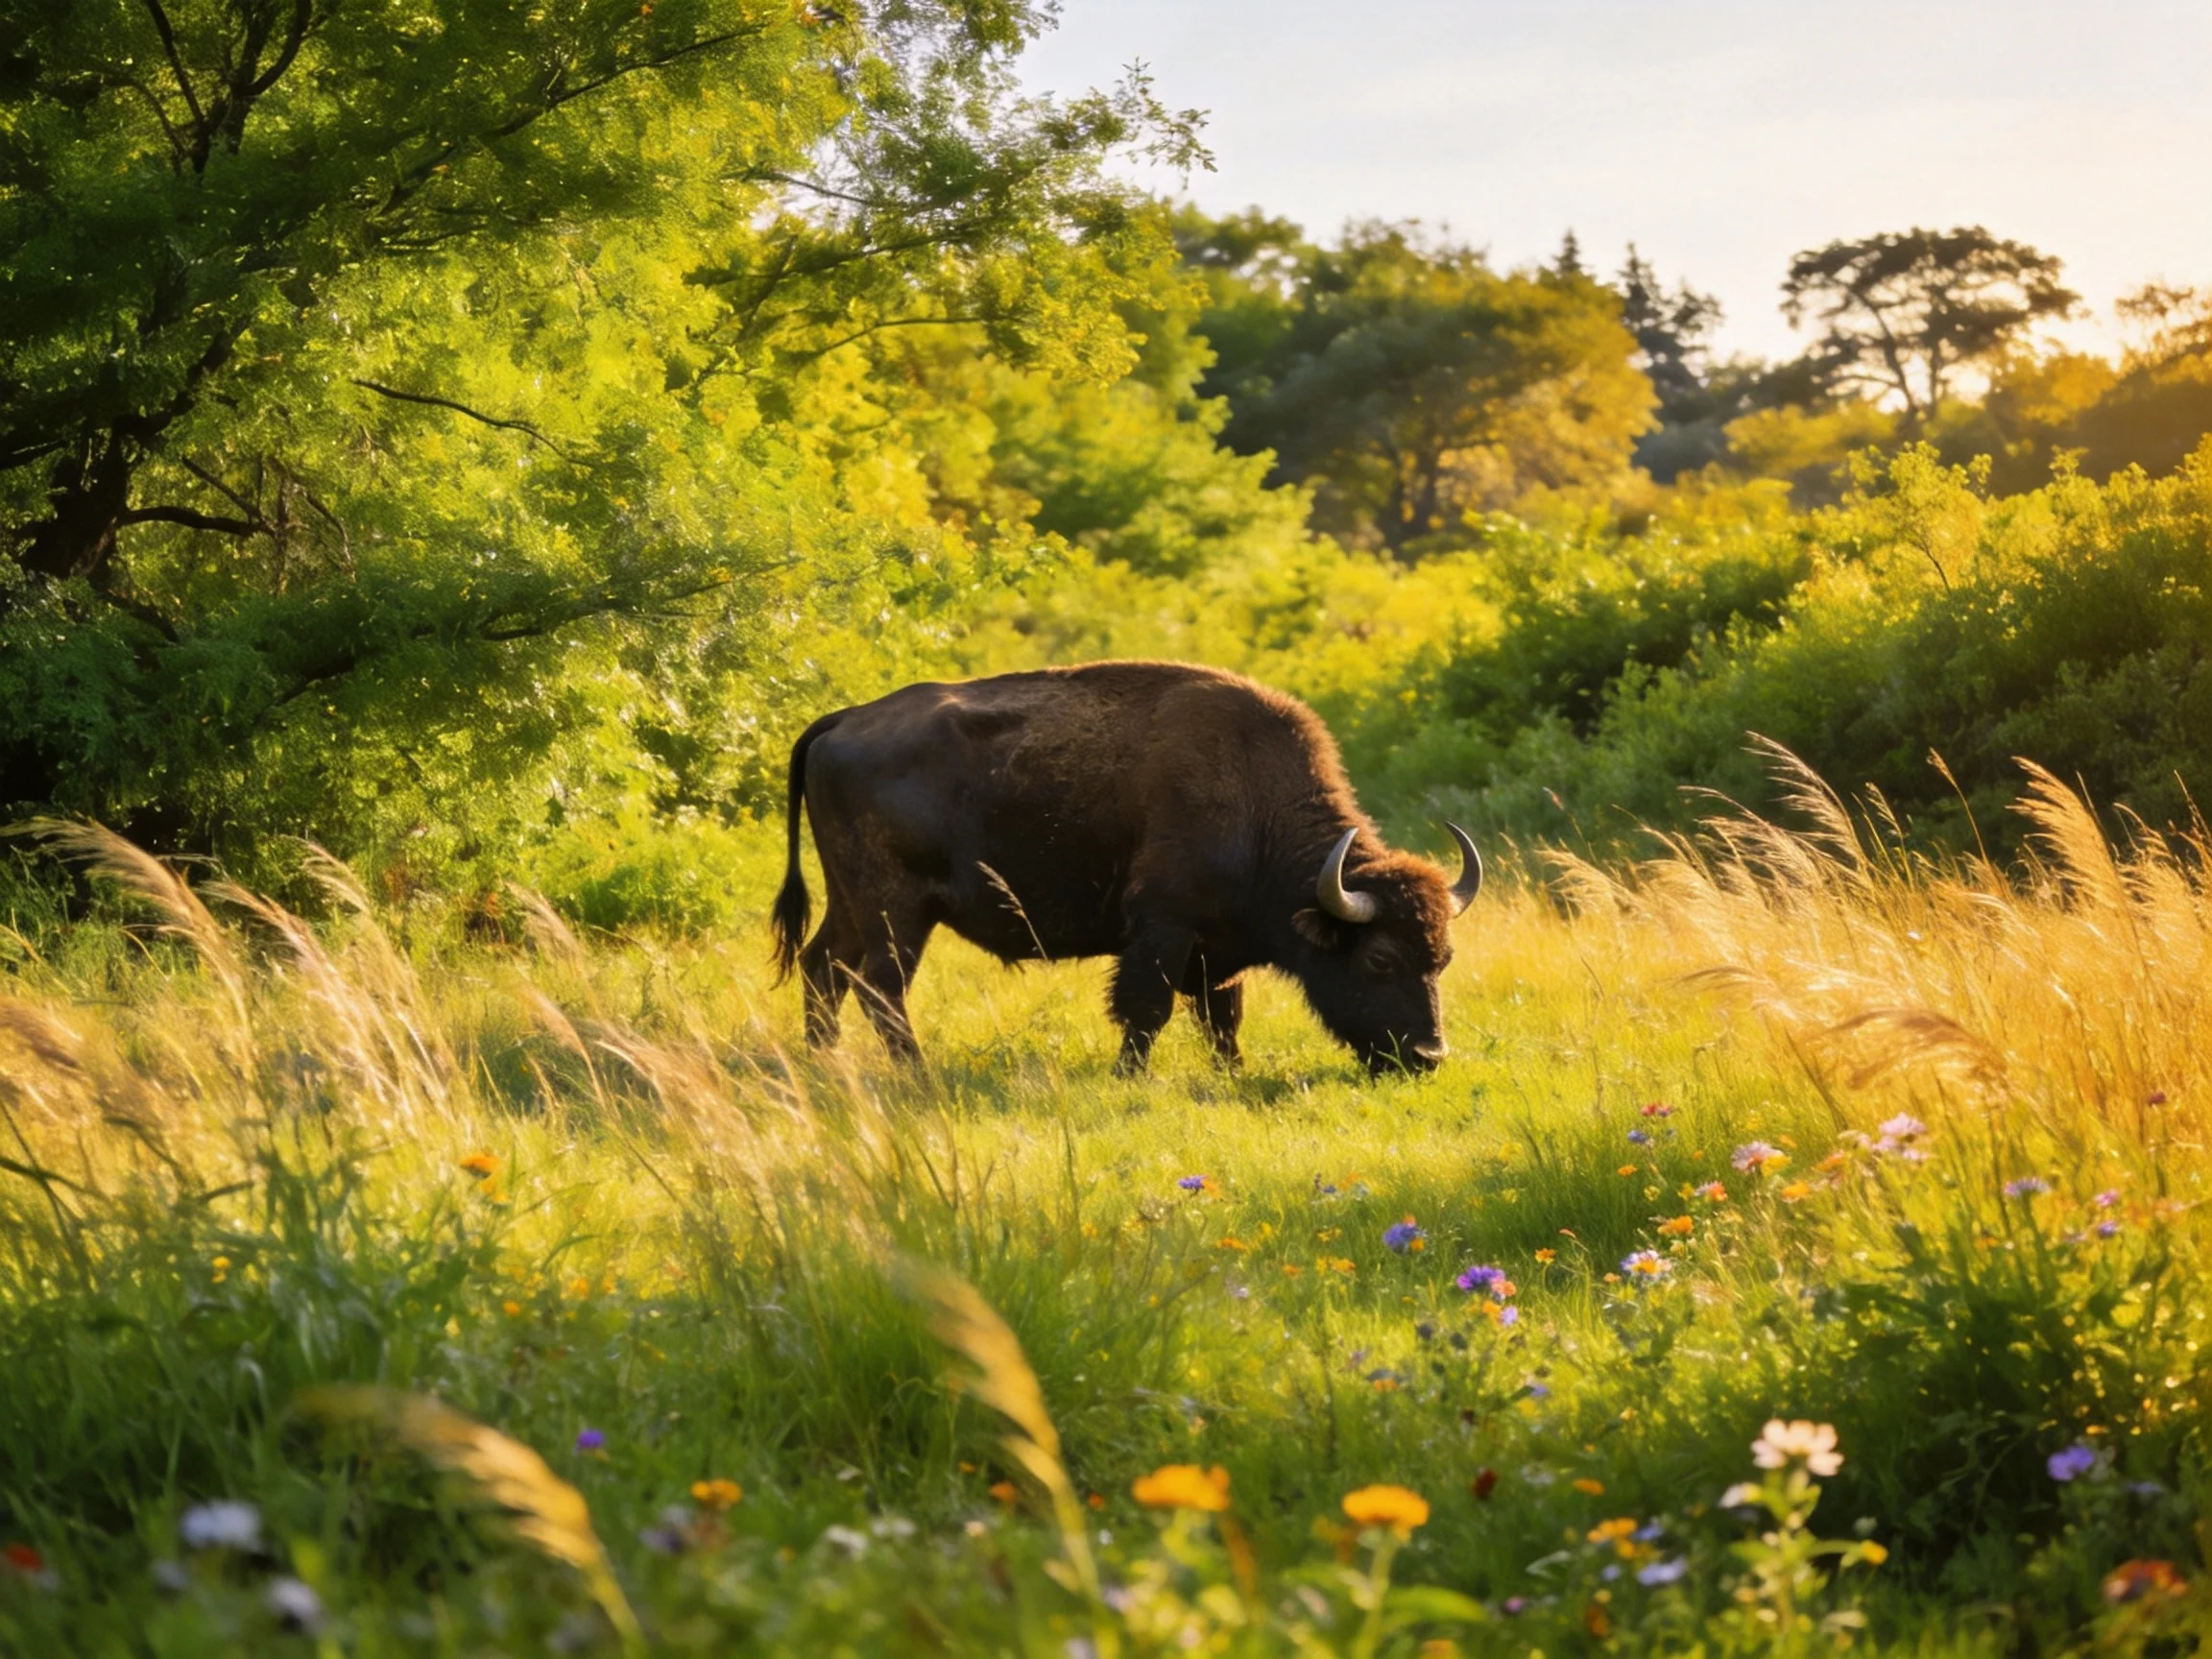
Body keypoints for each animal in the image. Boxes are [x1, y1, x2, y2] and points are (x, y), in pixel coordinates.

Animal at [769, 660, 1480, 1073]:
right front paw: (1129, 1076)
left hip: (851, 902)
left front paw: (1232, 1072)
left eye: (1443, 958)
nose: (1429, 1055)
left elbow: (1222, 1015)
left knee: (823, 967)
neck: (1255, 802)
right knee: (879, 987)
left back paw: (823, 1062)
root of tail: (844, 721)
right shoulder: (1161, 928)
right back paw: (915, 1075)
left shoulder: (1214, 952)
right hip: (899, 910)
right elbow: (1148, 1008)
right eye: (1379, 958)